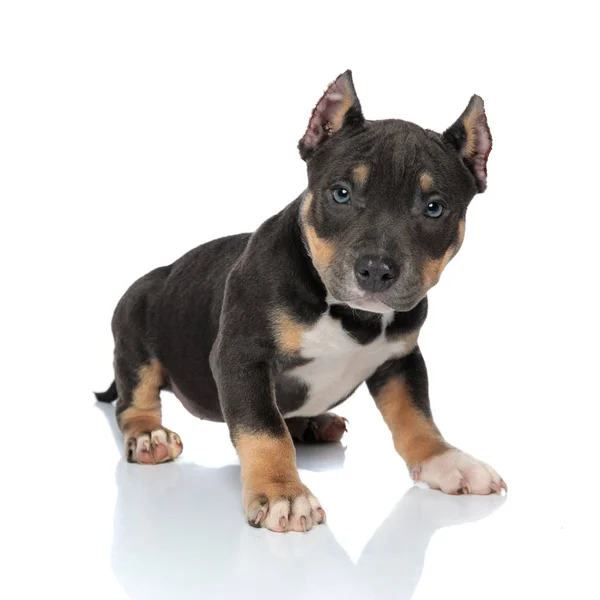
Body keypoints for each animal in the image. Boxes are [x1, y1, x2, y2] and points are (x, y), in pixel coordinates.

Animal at [97, 71, 506, 536]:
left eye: (434, 208)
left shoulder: (401, 360)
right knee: (134, 400)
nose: (376, 270)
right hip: (135, 327)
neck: (349, 314)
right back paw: (150, 436)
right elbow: (264, 429)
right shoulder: (242, 357)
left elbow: (416, 416)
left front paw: (446, 460)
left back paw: (313, 422)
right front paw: (283, 493)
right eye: (341, 194)